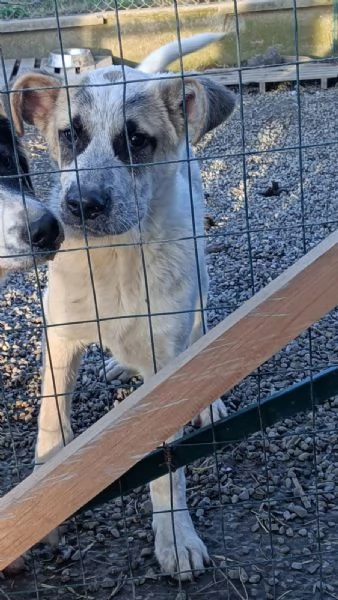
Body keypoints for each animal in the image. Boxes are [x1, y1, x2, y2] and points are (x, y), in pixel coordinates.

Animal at [11, 35, 236, 580]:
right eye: (69, 135)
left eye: (136, 141)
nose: (82, 206)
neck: (113, 259)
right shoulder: (59, 339)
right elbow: (51, 426)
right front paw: (41, 506)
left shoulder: (165, 364)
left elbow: (165, 464)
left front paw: (176, 537)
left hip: (199, 283)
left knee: (201, 332)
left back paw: (210, 399)